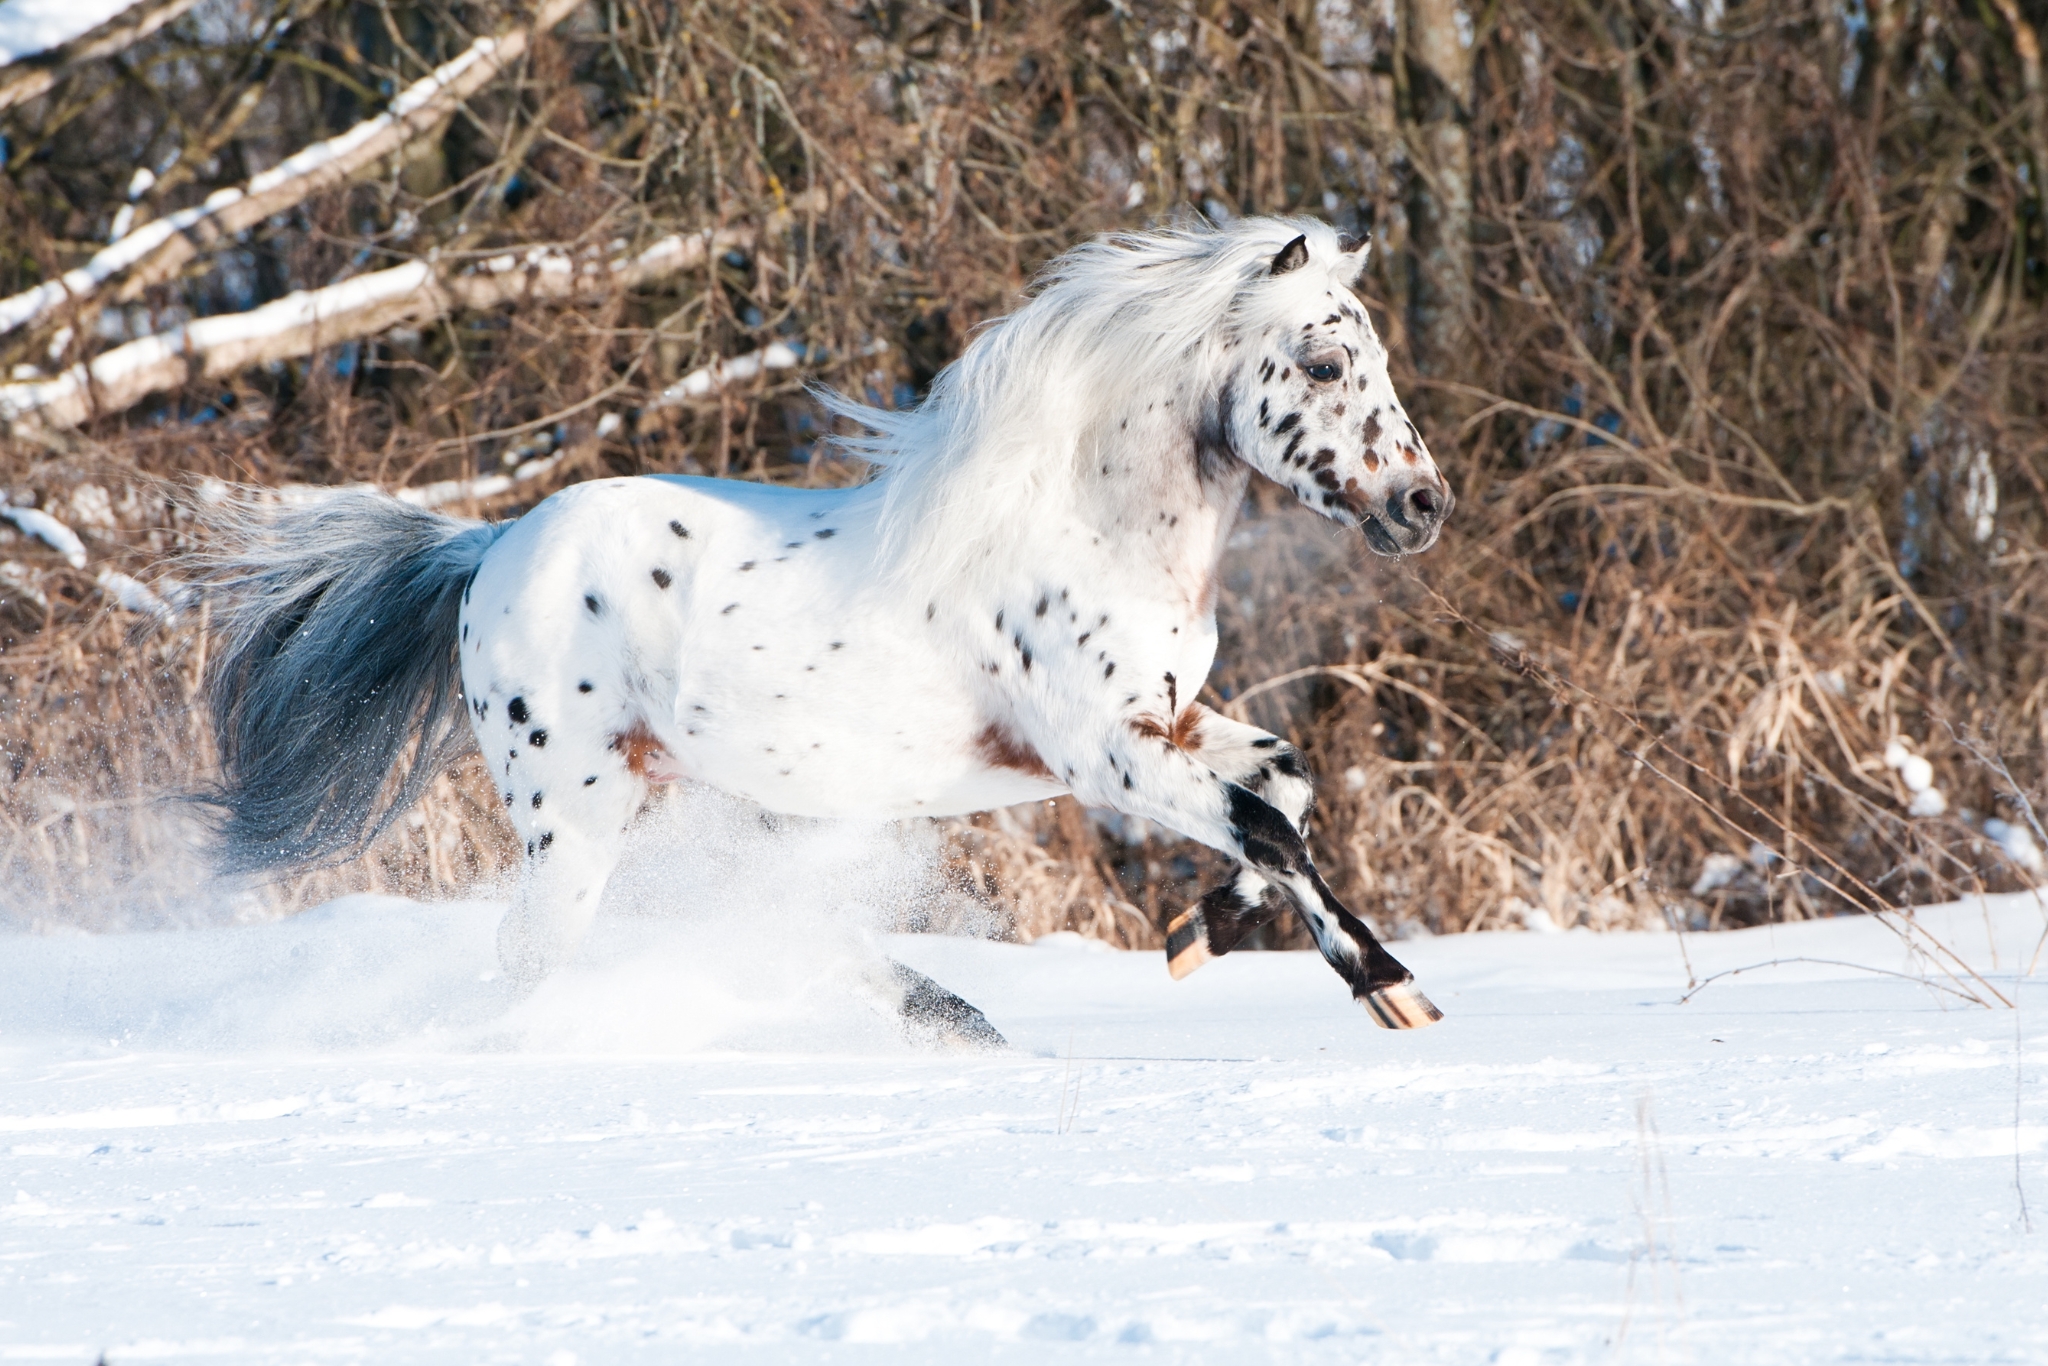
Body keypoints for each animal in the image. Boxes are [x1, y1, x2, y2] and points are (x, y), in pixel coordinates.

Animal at [194, 215, 1453, 1044]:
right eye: (1323, 359)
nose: (1419, 505)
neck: (1082, 523)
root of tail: (486, 549)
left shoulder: (1171, 723)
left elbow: (1286, 791)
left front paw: (1197, 937)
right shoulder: (1103, 756)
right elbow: (1268, 827)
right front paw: (1391, 989)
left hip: (697, 797)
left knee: (768, 920)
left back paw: (953, 1018)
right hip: (578, 817)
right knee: (542, 953)